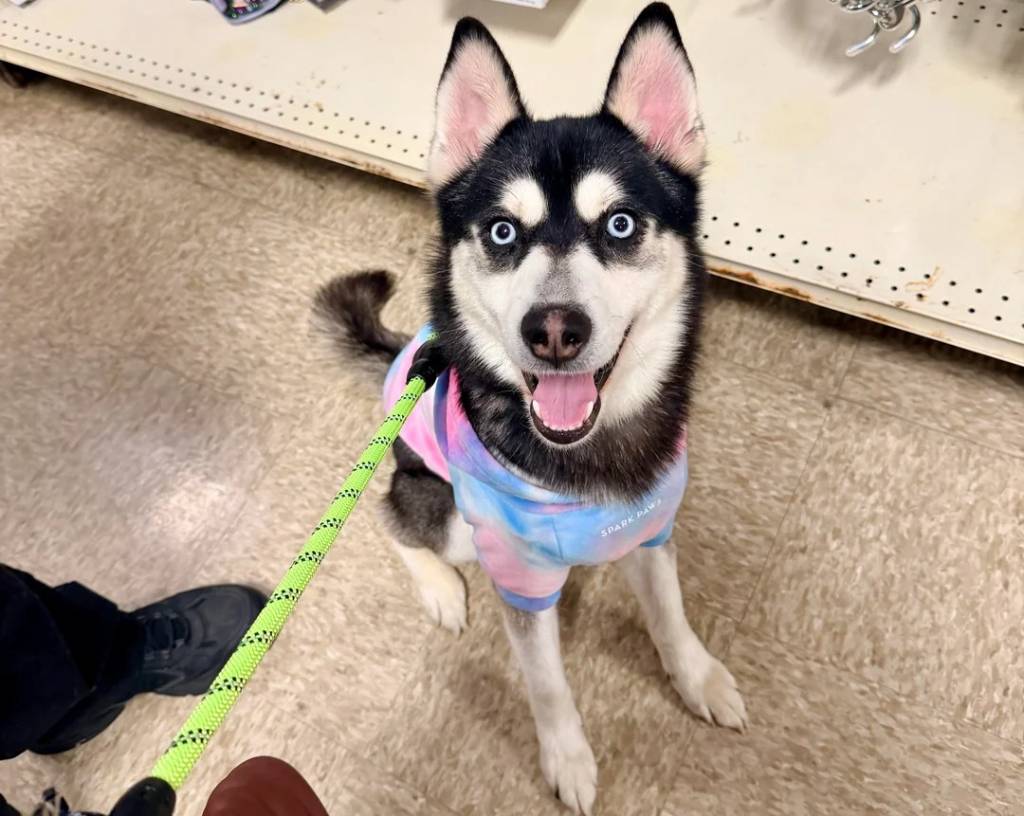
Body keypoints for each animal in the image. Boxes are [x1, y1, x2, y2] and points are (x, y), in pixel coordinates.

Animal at [316, 4, 746, 813]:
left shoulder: (651, 532)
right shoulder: (517, 579)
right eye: (502, 231)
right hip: (446, 514)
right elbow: (547, 686)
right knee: (389, 517)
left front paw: (698, 677)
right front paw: (567, 758)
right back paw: (440, 588)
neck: (587, 461)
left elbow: (671, 614)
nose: (552, 330)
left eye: (619, 224)